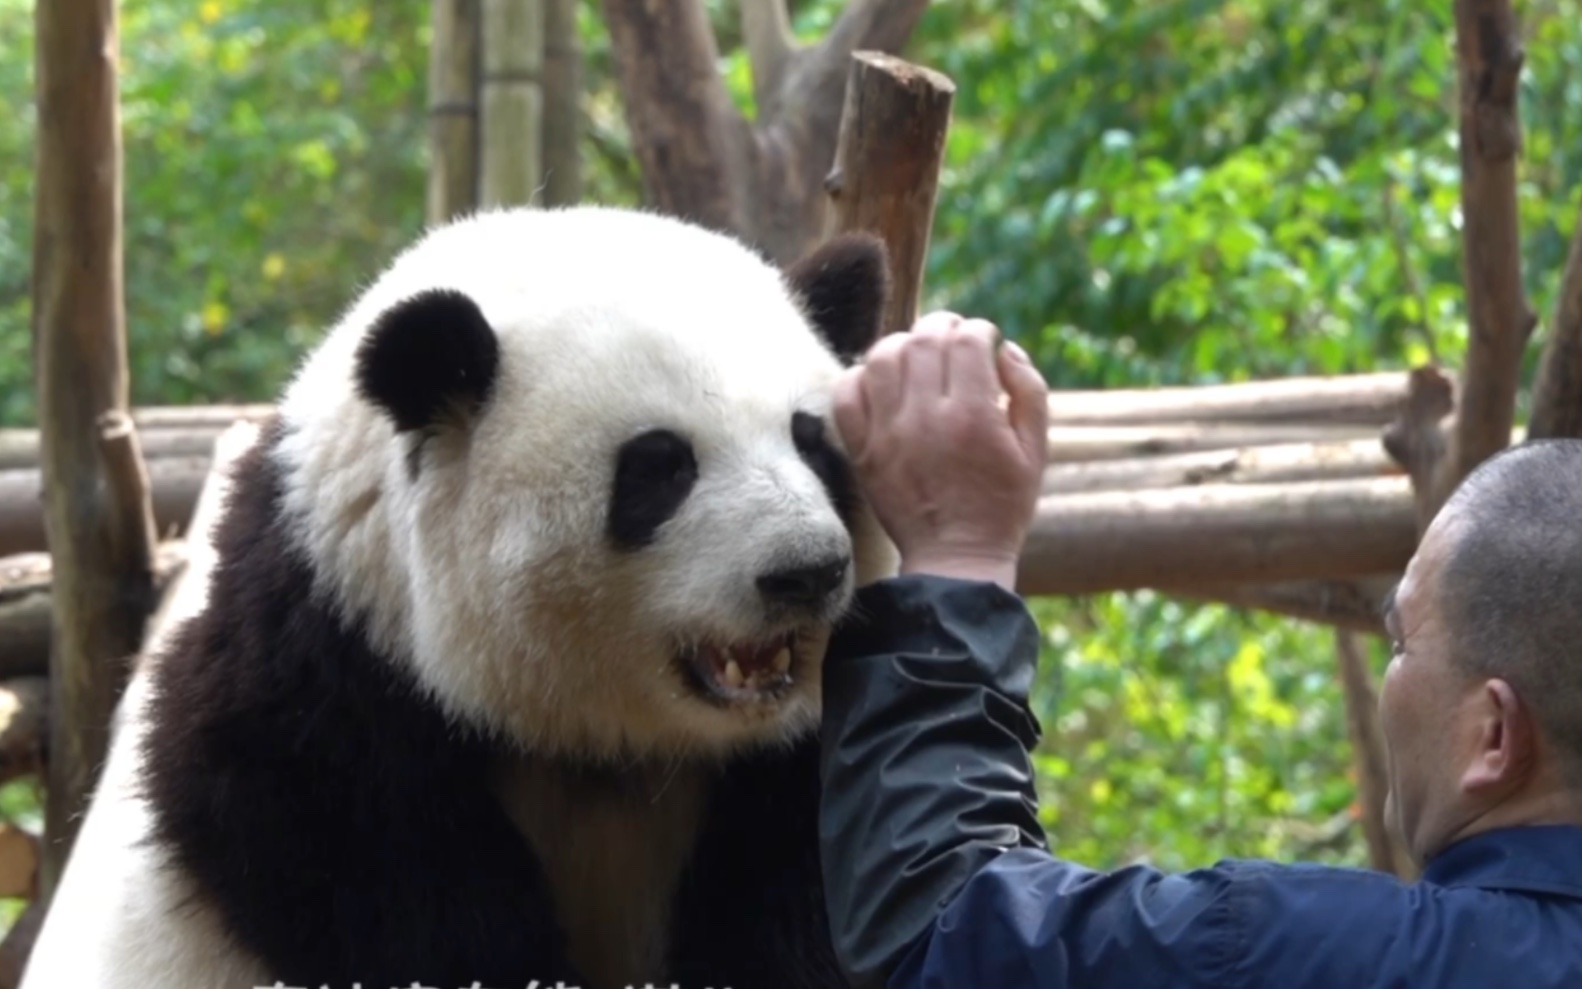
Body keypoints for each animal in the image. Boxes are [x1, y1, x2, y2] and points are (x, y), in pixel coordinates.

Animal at [18, 205, 898, 987]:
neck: (604, 743)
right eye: (661, 466)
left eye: (813, 444)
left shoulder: (789, 754)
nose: (807, 570)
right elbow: (383, 884)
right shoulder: (331, 670)